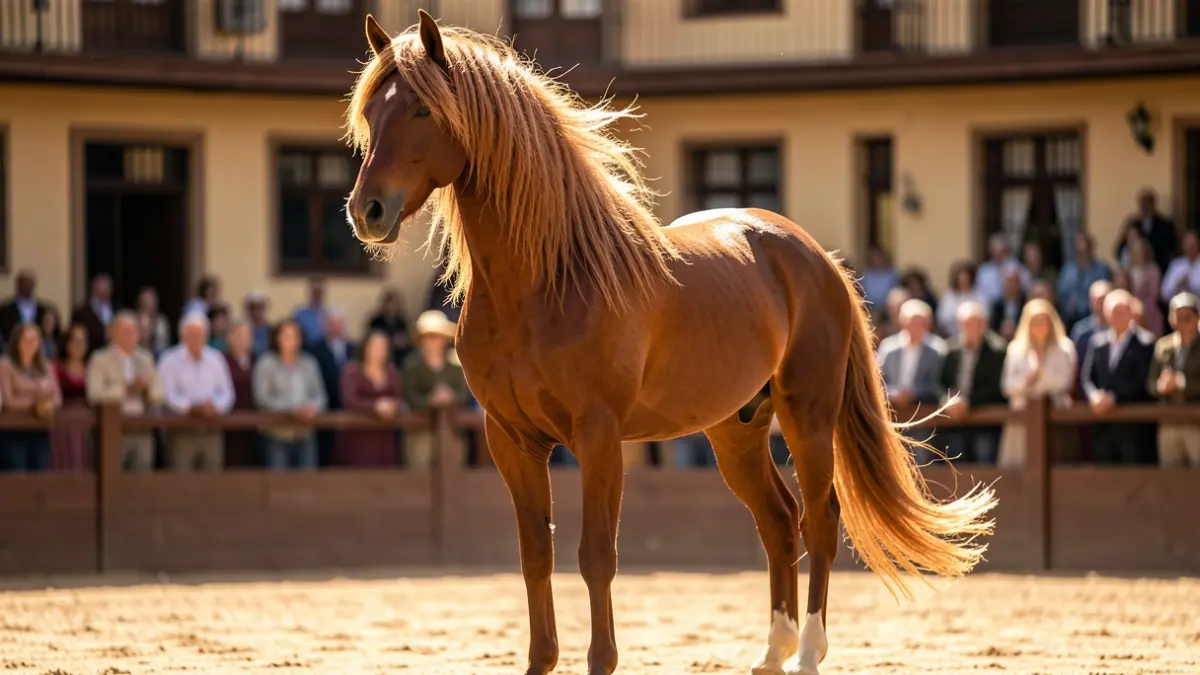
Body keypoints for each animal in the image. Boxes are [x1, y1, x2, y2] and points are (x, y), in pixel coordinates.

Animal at [344, 11, 997, 675]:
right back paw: (773, 651)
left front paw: (601, 660)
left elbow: (596, 555)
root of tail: (815, 257)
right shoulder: (512, 439)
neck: (548, 280)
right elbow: (535, 557)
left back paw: (809, 652)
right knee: (778, 522)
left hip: (808, 416)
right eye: (370, 112)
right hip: (736, 429)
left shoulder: (599, 436)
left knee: (818, 520)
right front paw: (540, 661)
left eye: (423, 109)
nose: (367, 211)